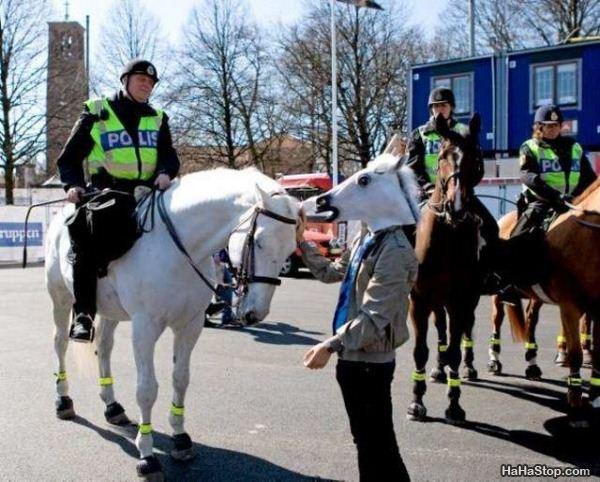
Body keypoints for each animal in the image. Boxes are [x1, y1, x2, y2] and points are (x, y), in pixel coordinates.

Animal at [44, 168, 300, 480]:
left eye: (290, 248)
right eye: (260, 242)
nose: (255, 313)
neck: (179, 249)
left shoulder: (190, 326)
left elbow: (181, 378)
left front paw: (180, 438)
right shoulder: (145, 328)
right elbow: (146, 390)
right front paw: (147, 455)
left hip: (110, 312)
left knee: (103, 347)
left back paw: (112, 406)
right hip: (60, 299)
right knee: (60, 343)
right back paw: (63, 400)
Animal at [406, 115, 486, 424]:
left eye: (475, 157)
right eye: (441, 157)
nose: (456, 206)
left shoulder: (461, 301)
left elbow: (454, 350)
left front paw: (454, 404)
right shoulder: (418, 300)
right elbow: (420, 351)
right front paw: (416, 402)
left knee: (465, 332)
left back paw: (468, 368)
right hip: (435, 301)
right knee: (439, 329)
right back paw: (438, 370)